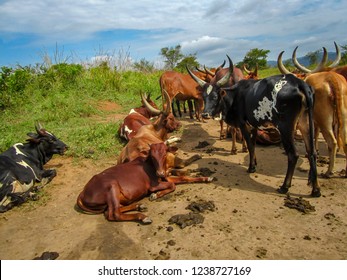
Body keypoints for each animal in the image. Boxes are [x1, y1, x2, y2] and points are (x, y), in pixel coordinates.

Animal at [77, 142, 215, 223]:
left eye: (165, 154)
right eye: (152, 156)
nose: (160, 173)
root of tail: (82, 193)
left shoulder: (166, 177)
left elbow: (185, 178)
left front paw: (206, 178)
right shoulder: (152, 185)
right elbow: (172, 185)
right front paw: (155, 195)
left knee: (111, 210)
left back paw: (139, 206)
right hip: (112, 186)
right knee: (113, 214)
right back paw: (142, 217)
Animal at [203, 66, 322, 197]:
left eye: (215, 97)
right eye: (204, 97)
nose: (204, 114)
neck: (235, 96)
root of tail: (299, 83)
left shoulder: (243, 124)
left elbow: (250, 145)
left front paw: (251, 167)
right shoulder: (254, 125)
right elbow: (254, 144)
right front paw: (254, 162)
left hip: (285, 127)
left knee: (293, 155)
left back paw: (284, 187)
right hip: (304, 123)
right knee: (312, 152)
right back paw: (315, 189)